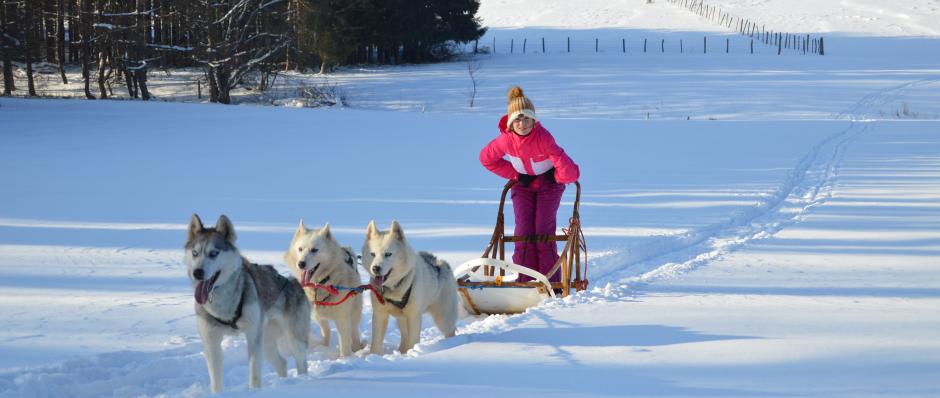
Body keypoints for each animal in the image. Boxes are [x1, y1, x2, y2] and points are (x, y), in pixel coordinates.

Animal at [185, 215, 310, 392]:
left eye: (213, 253)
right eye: (195, 253)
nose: (197, 272)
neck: (224, 304)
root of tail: (293, 281)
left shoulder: (252, 337)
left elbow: (254, 375)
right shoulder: (211, 343)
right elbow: (216, 381)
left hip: (293, 338)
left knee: (302, 363)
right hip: (266, 341)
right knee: (282, 363)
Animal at [282, 221, 364, 358]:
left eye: (314, 250)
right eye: (300, 249)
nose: (301, 264)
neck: (320, 283)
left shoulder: (342, 318)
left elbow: (344, 342)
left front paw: (345, 358)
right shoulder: (317, 315)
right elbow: (326, 333)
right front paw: (323, 348)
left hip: (354, 311)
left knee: (354, 331)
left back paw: (358, 349)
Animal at [362, 221, 460, 354]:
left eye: (388, 254)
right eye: (373, 254)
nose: (375, 268)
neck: (394, 287)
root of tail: (441, 264)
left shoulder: (414, 316)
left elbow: (413, 340)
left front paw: (414, 352)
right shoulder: (379, 315)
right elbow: (376, 342)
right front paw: (374, 354)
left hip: (443, 318)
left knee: (450, 331)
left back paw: (450, 345)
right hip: (402, 319)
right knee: (405, 337)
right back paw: (402, 351)